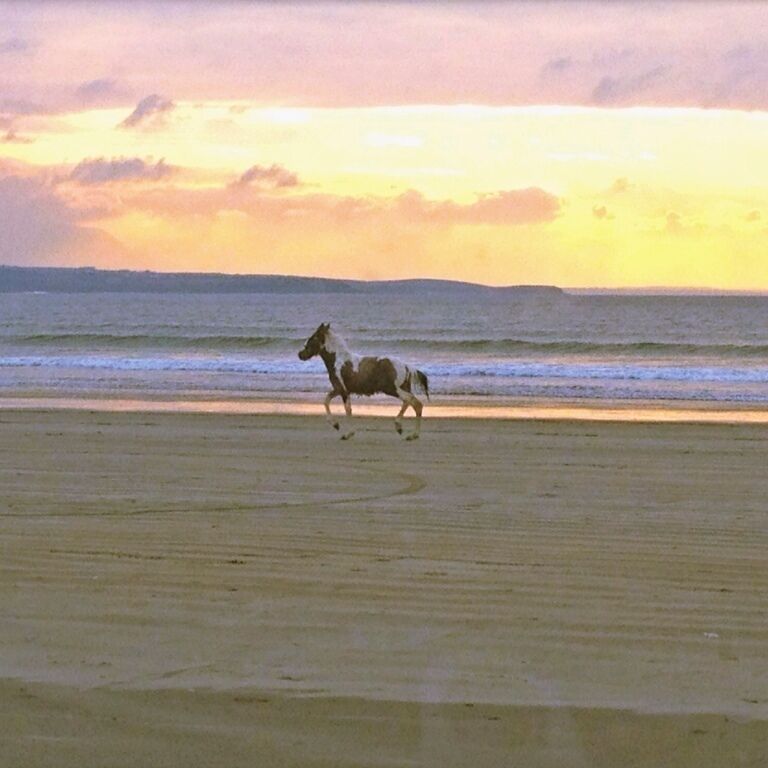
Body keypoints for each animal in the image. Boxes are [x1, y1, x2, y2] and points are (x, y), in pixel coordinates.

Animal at [298, 323, 429, 440]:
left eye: (313, 337)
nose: (300, 354)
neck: (338, 361)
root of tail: (406, 366)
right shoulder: (339, 389)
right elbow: (326, 401)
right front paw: (336, 425)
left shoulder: (342, 391)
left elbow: (347, 410)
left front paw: (347, 433)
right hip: (400, 389)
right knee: (408, 403)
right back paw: (400, 428)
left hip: (393, 389)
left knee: (416, 404)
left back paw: (412, 435)